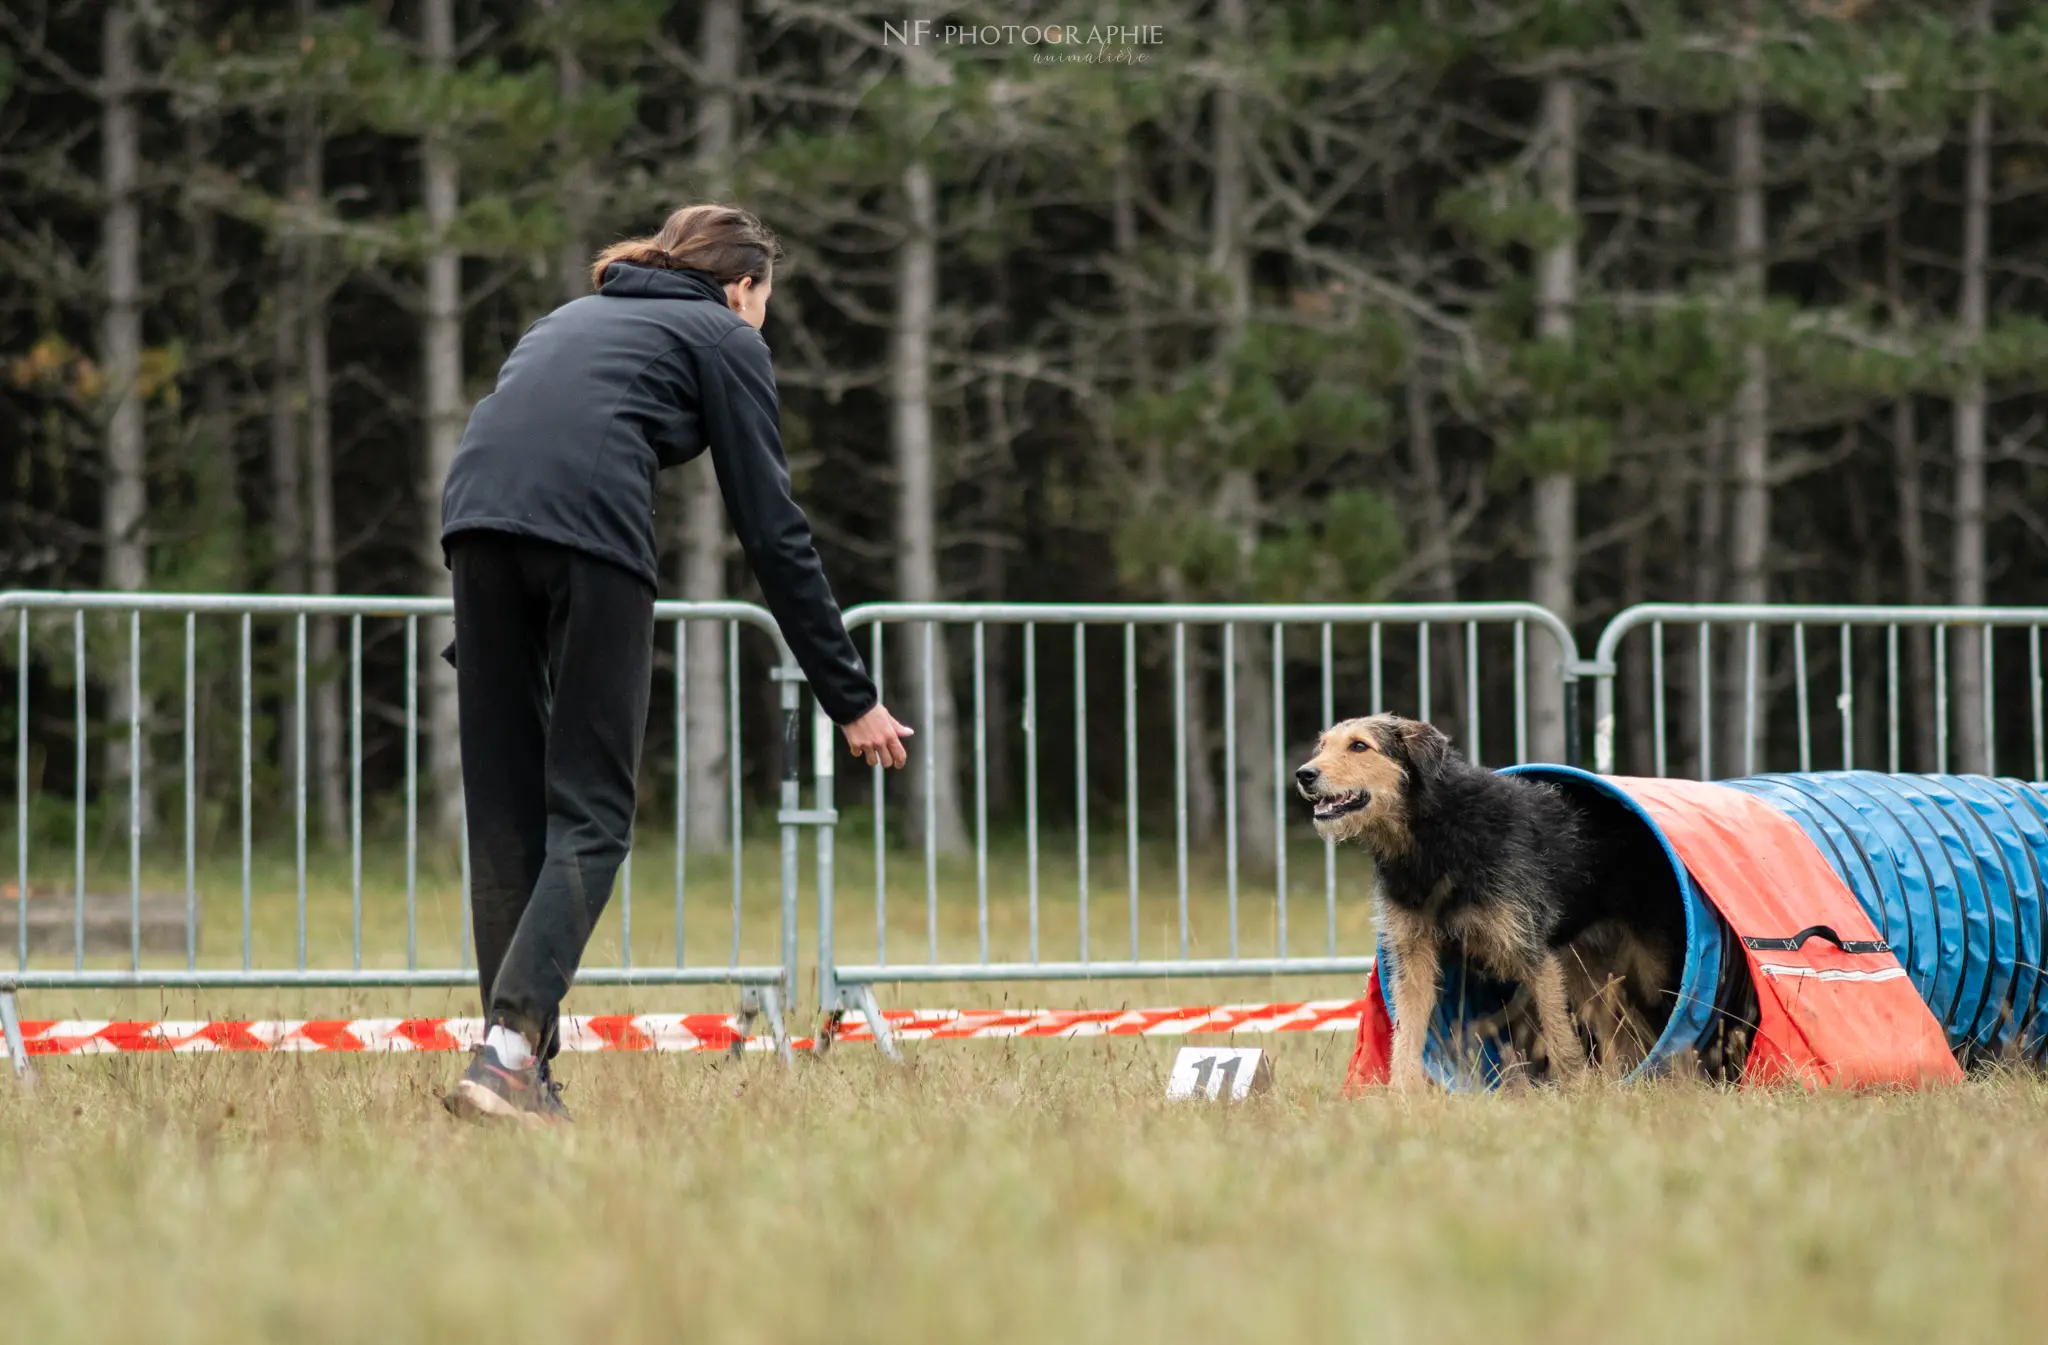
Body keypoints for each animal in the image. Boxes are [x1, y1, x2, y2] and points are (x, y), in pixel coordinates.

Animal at [1294, 708, 1679, 1089]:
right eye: (1322, 746)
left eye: (1359, 746)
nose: (1304, 774)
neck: (1433, 829)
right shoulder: (1414, 954)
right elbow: (1407, 1031)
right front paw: (1403, 1093)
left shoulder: (1531, 953)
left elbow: (1558, 1032)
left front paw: (1576, 1088)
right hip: (1585, 965)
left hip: (1649, 968)